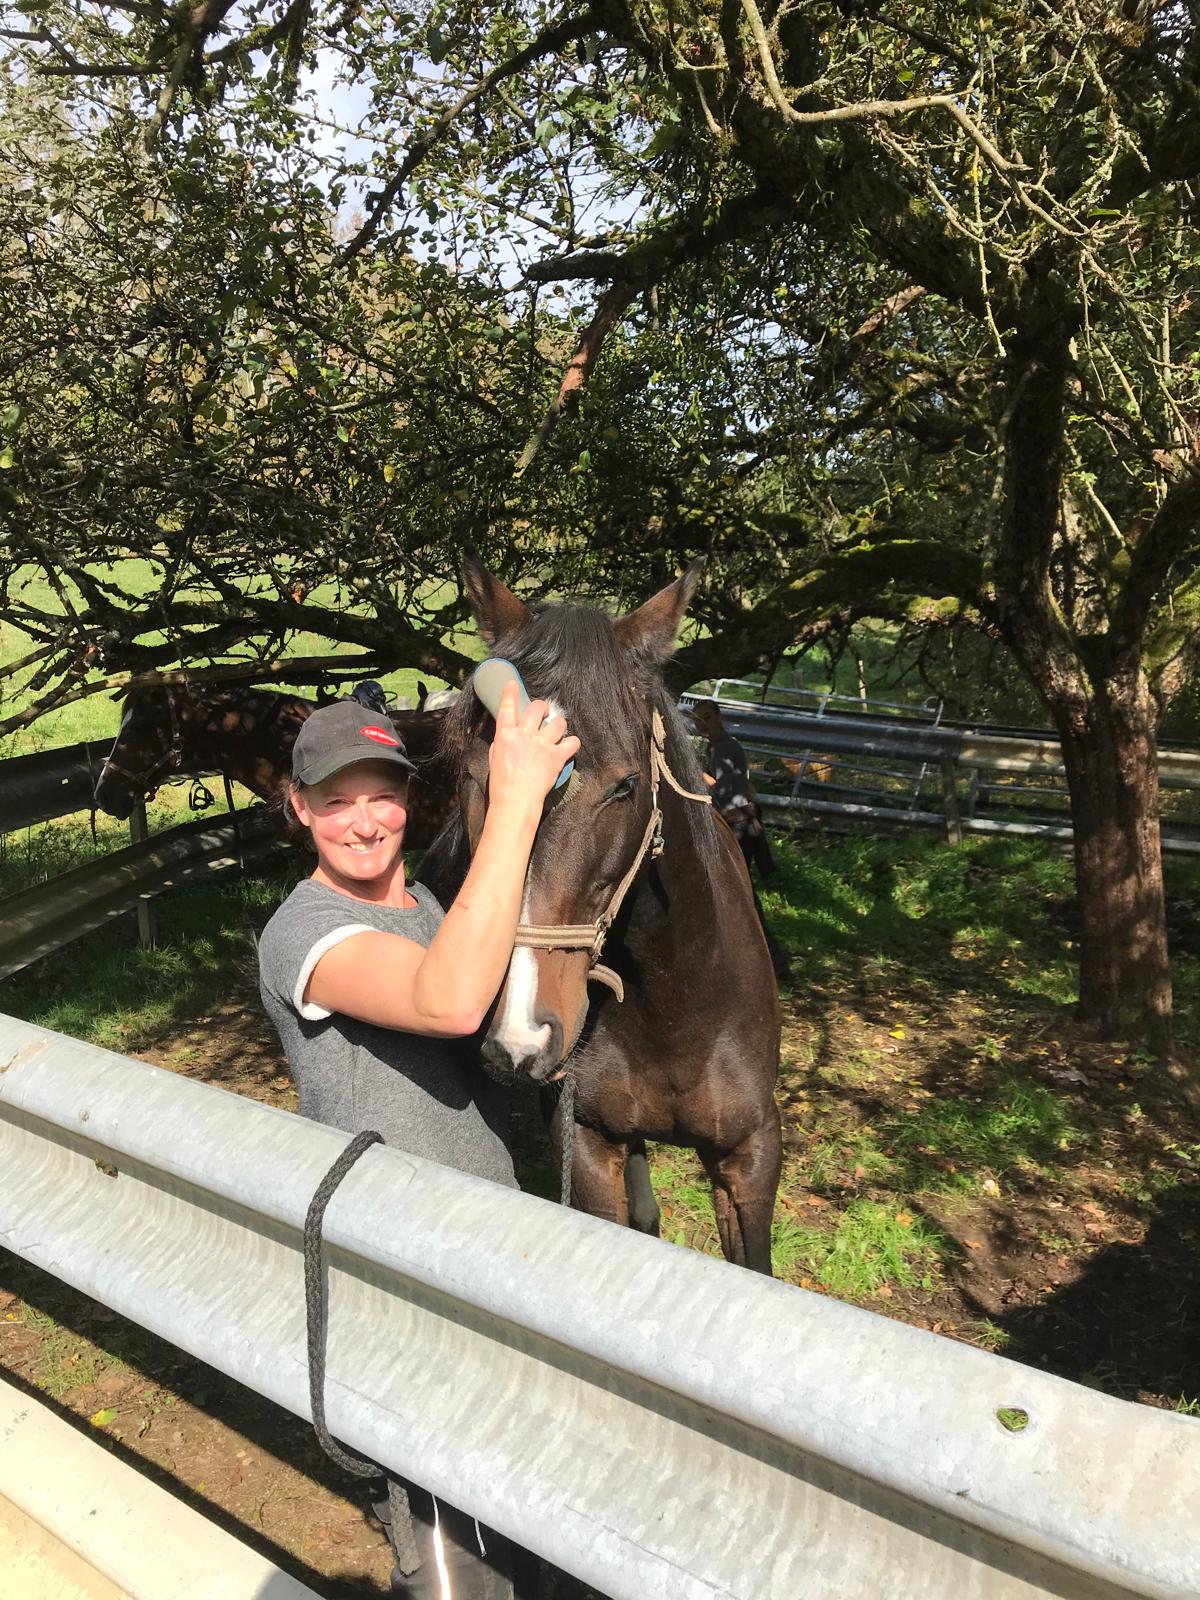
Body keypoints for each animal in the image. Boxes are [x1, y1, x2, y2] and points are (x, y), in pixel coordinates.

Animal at [419, 556, 783, 1273]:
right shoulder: (586, 1143)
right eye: (477, 778)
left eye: (626, 786)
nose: (522, 1037)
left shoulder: (751, 1158)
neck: (676, 1001)